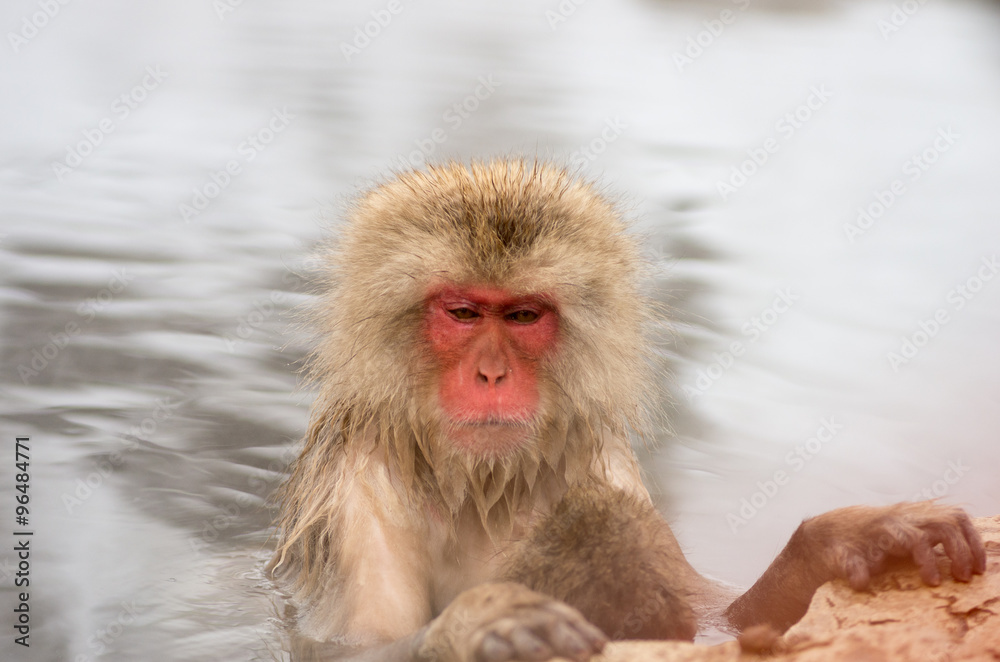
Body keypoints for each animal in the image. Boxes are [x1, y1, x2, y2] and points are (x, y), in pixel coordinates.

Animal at [270, 161, 988, 662]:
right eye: (465, 313)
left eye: (524, 316)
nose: (491, 374)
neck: (481, 484)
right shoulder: (354, 486)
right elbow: (349, 646)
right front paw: (479, 623)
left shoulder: (600, 454)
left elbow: (715, 621)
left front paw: (849, 536)